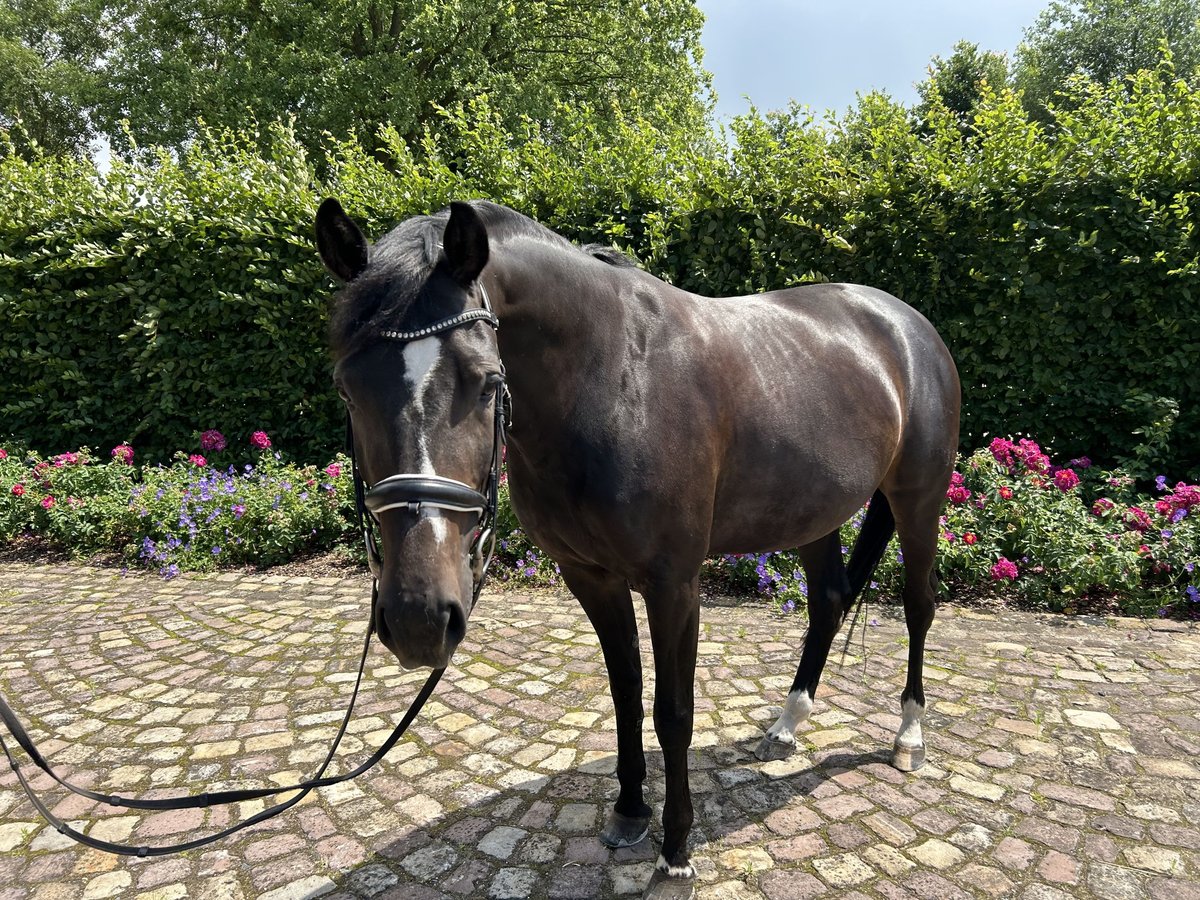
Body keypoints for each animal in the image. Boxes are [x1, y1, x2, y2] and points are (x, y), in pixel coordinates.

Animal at [314, 199, 960, 900]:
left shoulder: (673, 584)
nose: (418, 619)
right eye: (348, 388)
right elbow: (624, 690)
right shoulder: (590, 576)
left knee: (919, 607)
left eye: (486, 383)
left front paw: (675, 853)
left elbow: (673, 712)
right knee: (829, 602)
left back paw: (909, 737)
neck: (615, 381)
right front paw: (629, 811)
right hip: (810, 514)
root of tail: (907, 324)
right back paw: (787, 725)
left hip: (919, 502)